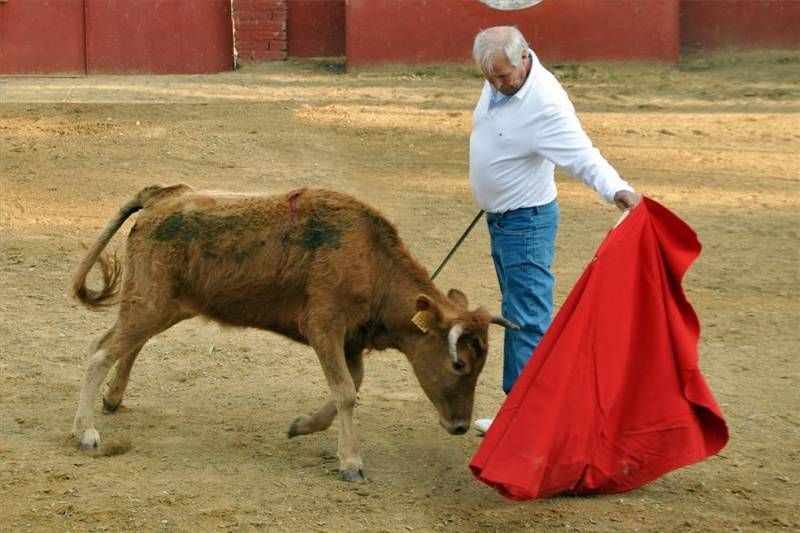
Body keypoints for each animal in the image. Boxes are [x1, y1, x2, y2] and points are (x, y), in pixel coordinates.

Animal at [70, 185, 520, 480]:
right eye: (459, 363)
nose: (460, 426)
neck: (371, 260)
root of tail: (161, 195)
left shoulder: (349, 341)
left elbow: (349, 386)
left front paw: (302, 425)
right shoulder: (325, 326)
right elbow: (346, 391)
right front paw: (351, 463)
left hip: (164, 306)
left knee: (127, 345)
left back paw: (112, 399)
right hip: (150, 302)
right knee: (101, 350)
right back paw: (86, 432)